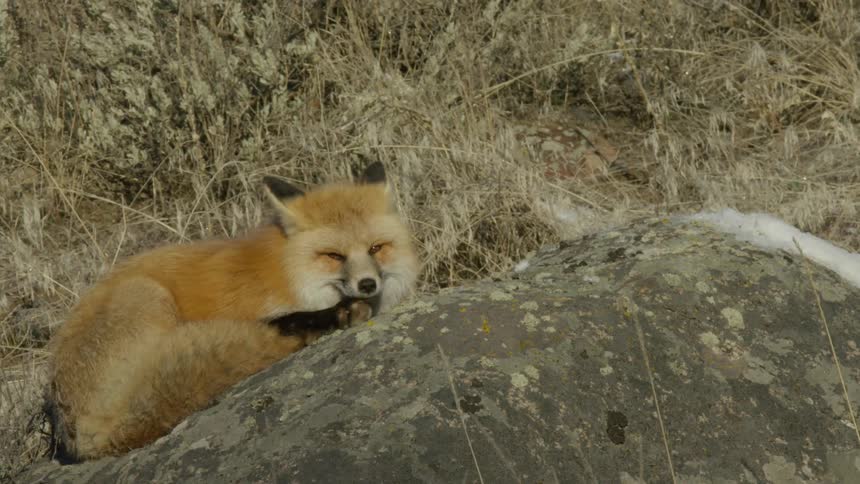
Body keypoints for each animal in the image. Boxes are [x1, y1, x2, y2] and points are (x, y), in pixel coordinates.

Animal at [44, 162, 420, 462]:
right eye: (334, 256)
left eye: (376, 248)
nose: (368, 284)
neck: (287, 272)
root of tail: (83, 436)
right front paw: (334, 314)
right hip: (147, 295)